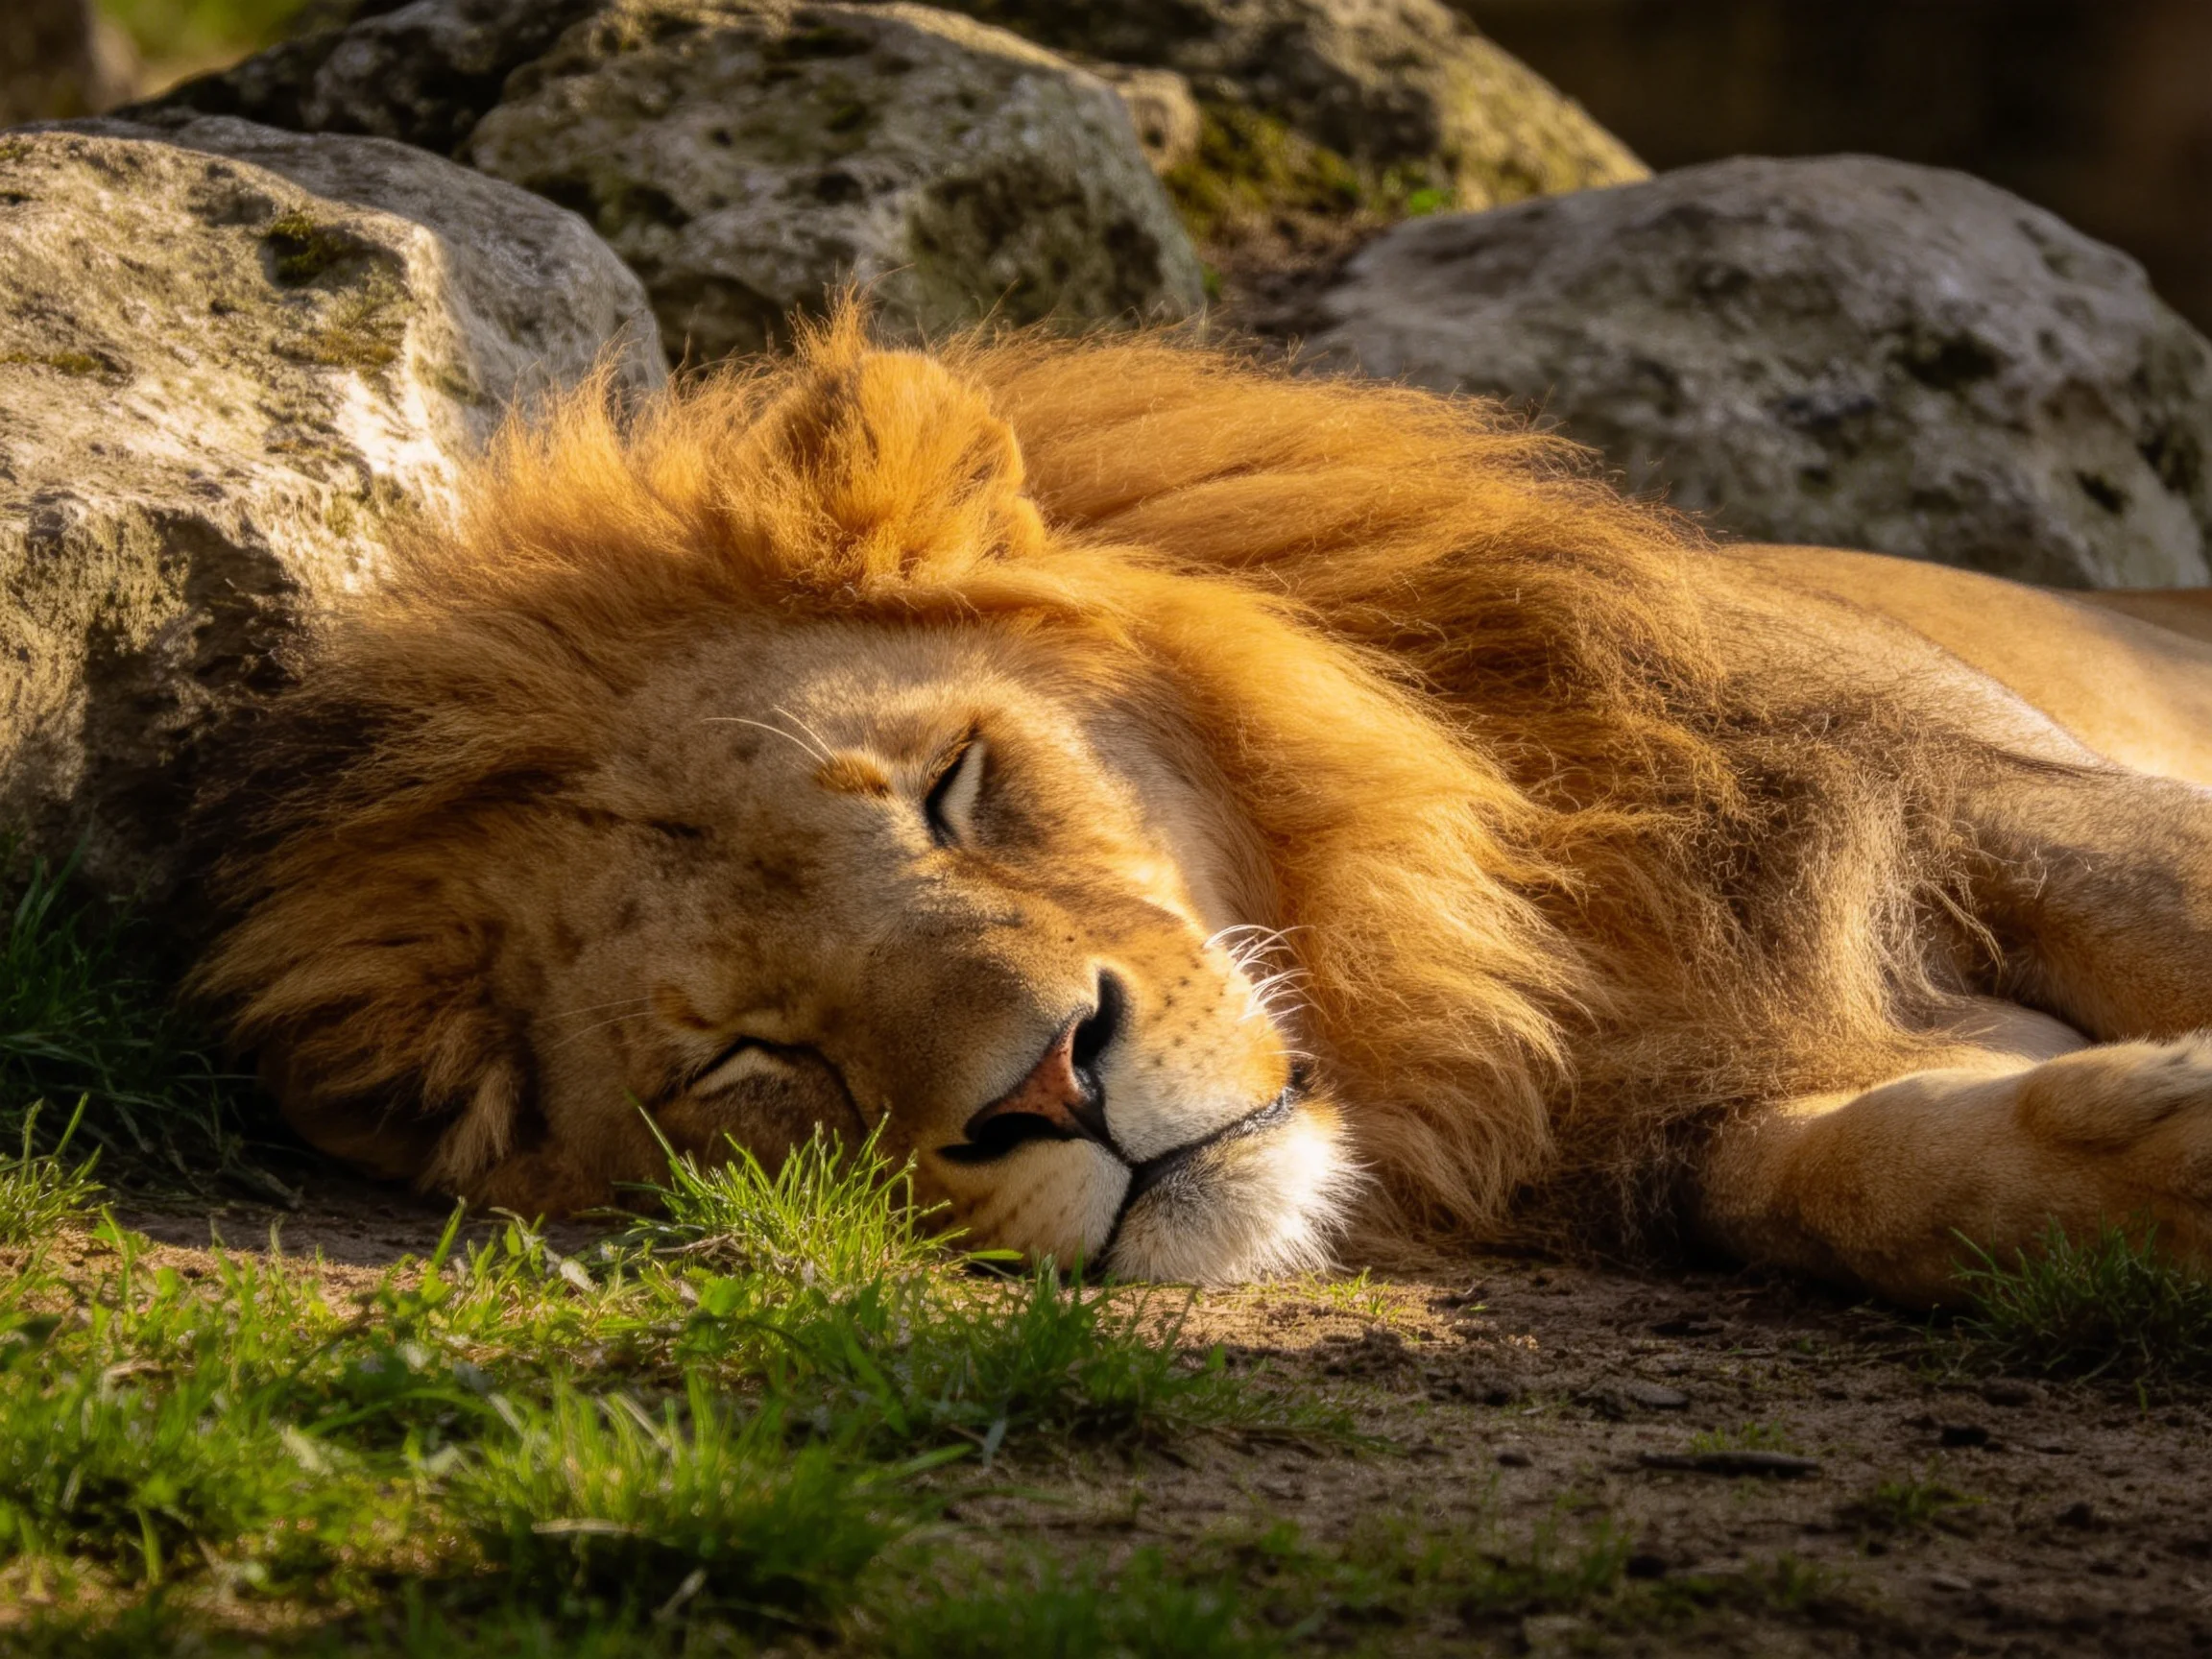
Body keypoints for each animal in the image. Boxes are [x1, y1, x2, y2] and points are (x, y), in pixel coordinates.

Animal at [192, 306, 2212, 1307]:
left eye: (949, 791)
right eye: (746, 1060)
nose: (1046, 1087)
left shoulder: (1975, 797)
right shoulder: (1677, 1112)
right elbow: (1852, 1180)